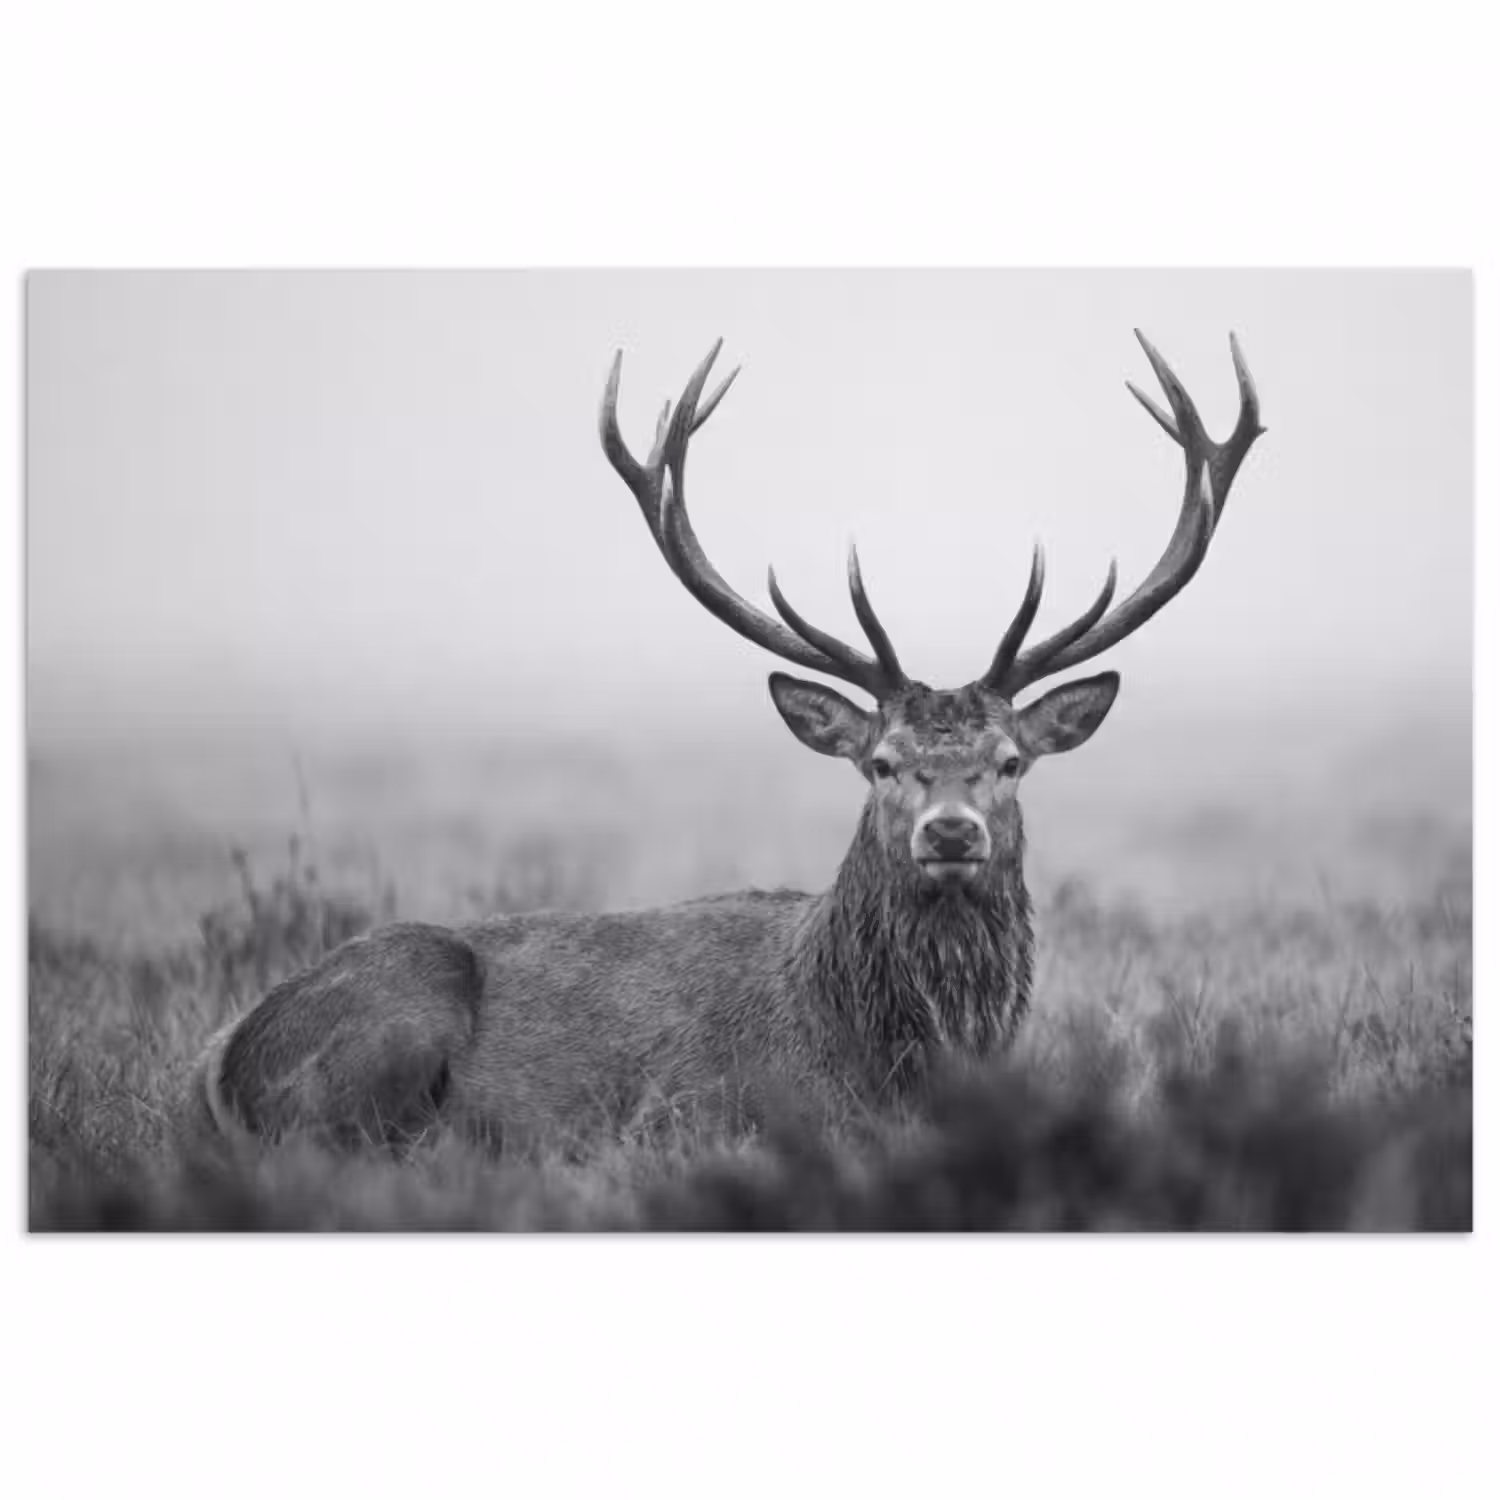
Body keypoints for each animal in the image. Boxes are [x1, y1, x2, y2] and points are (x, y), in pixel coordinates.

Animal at [195, 330, 1264, 1150]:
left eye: (1009, 763)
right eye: (881, 765)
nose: (953, 832)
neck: (887, 1051)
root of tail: (221, 1060)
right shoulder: (698, 1112)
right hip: (388, 1027)